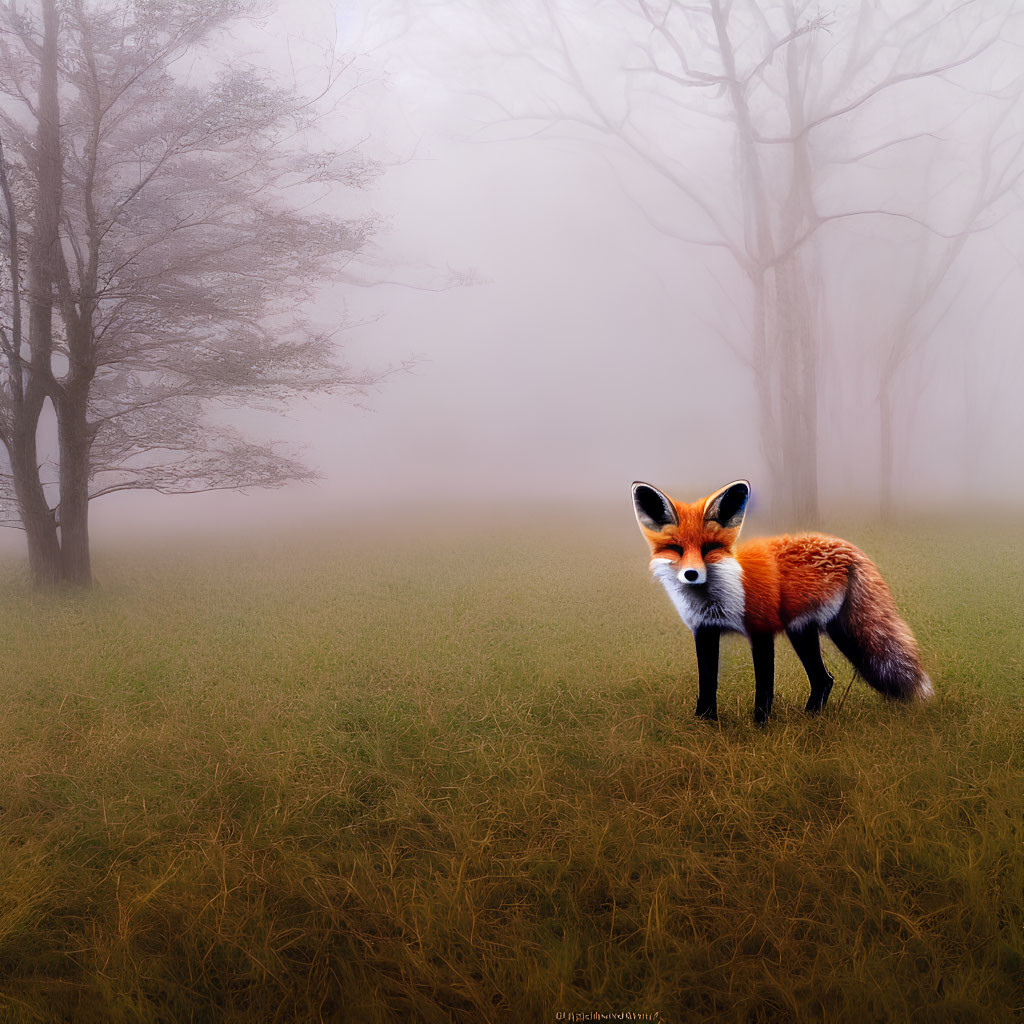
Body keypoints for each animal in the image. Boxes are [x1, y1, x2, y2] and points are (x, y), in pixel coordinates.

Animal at [626, 477, 933, 724]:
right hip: (811, 630)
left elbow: (764, 688)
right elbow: (707, 683)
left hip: (813, 630)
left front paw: (759, 727)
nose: (691, 574)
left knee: (824, 678)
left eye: (709, 548)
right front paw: (704, 724)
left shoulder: (761, 630)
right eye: (676, 549)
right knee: (824, 679)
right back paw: (809, 718)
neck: (715, 598)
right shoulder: (704, 630)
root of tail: (848, 547)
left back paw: (809, 720)